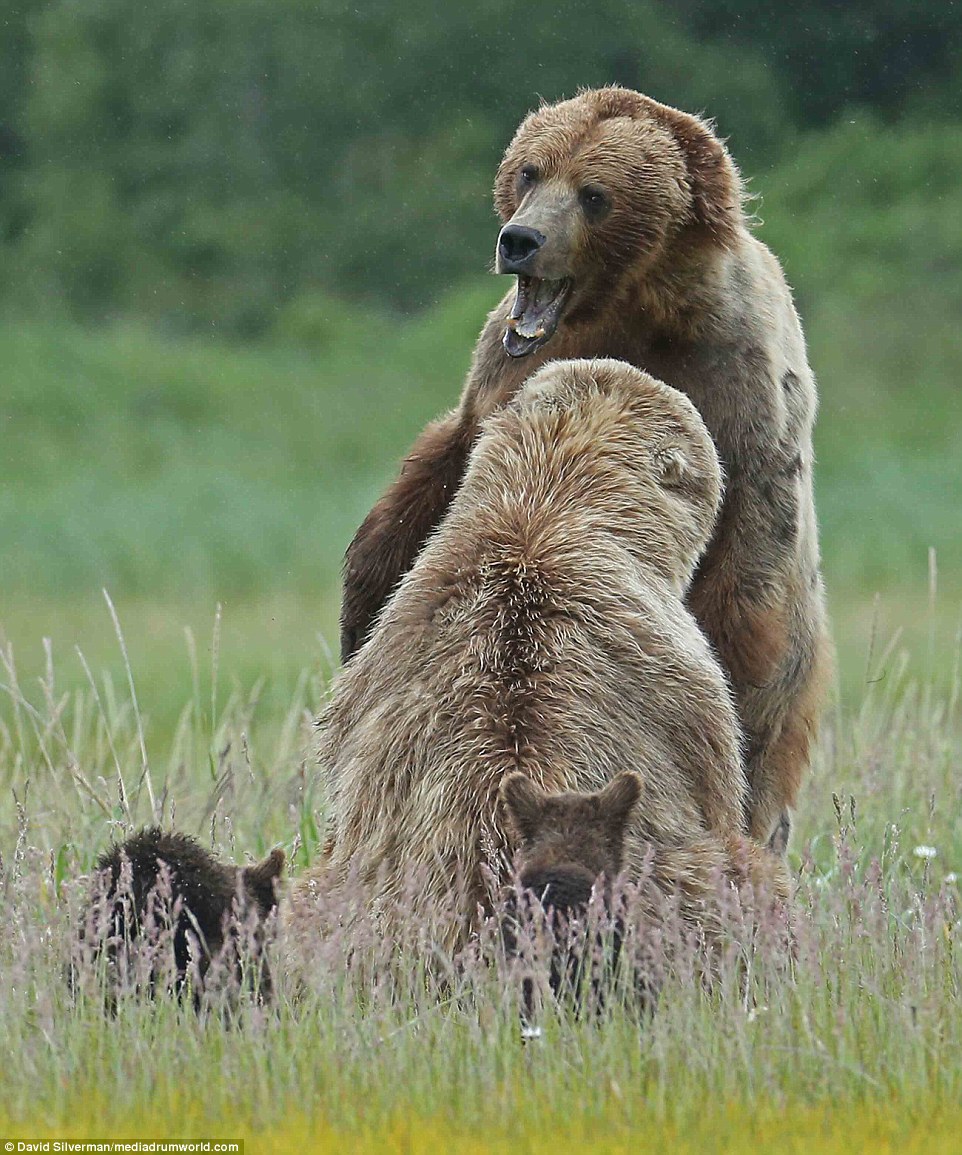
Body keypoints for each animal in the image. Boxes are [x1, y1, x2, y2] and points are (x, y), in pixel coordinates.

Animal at [341, 85, 831, 854]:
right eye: (530, 171)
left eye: (595, 193)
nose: (520, 240)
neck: (638, 306)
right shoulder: (508, 375)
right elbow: (437, 496)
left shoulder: (739, 392)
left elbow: (737, 599)